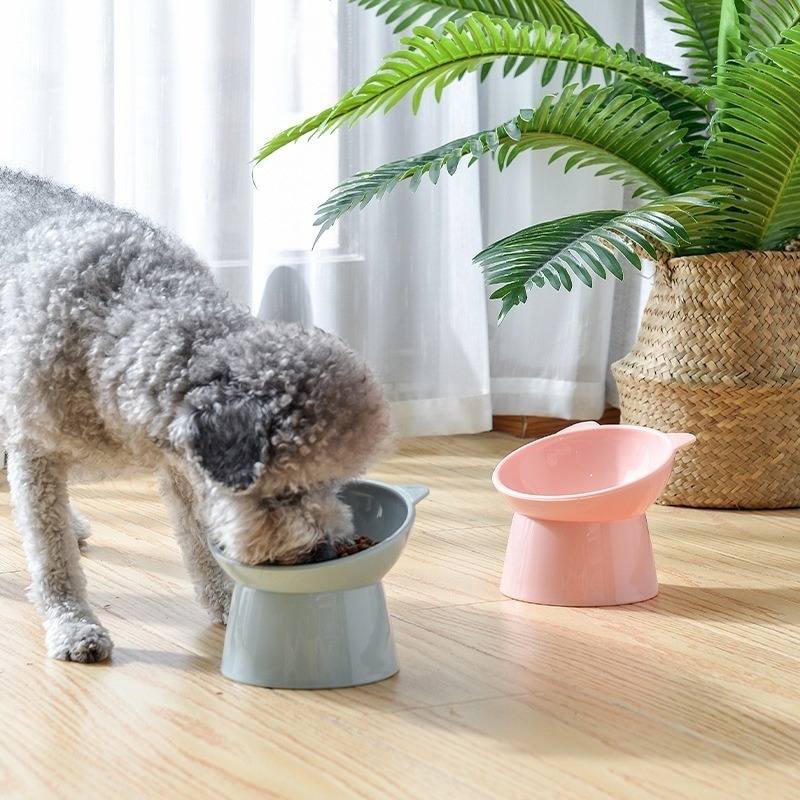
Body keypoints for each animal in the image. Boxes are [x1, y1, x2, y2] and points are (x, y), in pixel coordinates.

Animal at [0, 169, 392, 664]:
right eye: (286, 491)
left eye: (332, 483)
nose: (323, 552)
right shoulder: (36, 452)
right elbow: (51, 556)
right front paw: (73, 625)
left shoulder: (180, 465)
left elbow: (200, 541)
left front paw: (227, 599)